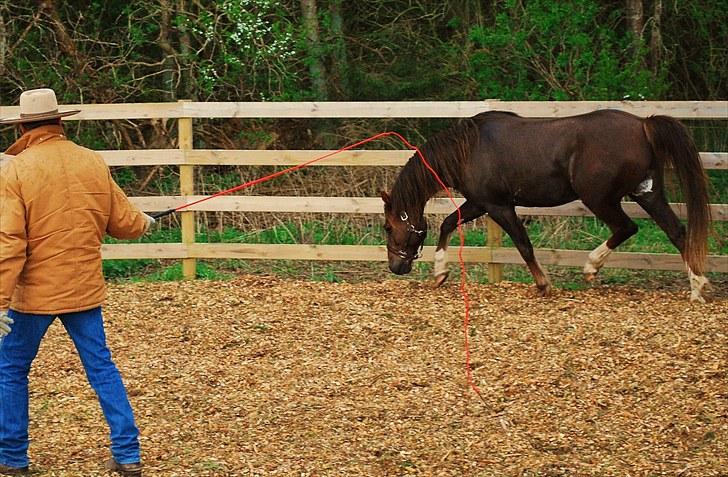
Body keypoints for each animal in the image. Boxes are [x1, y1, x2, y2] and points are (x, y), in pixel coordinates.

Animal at [384, 109, 712, 302]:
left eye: (388, 227)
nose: (396, 267)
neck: (469, 149)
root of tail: (644, 125)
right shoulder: (479, 203)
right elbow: (448, 223)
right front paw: (440, 273)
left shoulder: (498, 206)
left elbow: (523, 244)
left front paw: (543, 284)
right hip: (648, 193)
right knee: (677, 232)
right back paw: (697, 287)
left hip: (599, 198)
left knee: (626, 227)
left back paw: (591, 267)